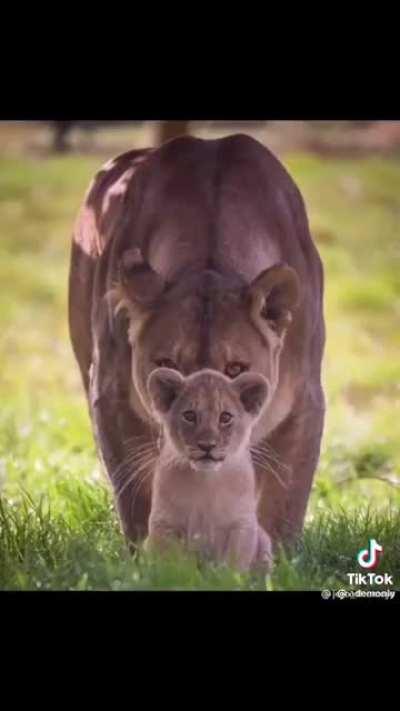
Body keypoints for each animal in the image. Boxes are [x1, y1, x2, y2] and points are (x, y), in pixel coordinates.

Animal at [68, 134, 325, 550]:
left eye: (235, 368)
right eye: (167, 365)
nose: (204, 431)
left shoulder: (303, 402)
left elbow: (283, 504)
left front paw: (274, 559)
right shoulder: (110, 396)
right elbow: (139, 496)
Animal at [145, 367, 273, 572]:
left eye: (225, 417)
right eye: (189, 416)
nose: (207, 445)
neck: (206, 481)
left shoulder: (242, 524)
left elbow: (233, 563)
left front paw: (226, 576)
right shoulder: (164, 523)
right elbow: (171, 563)